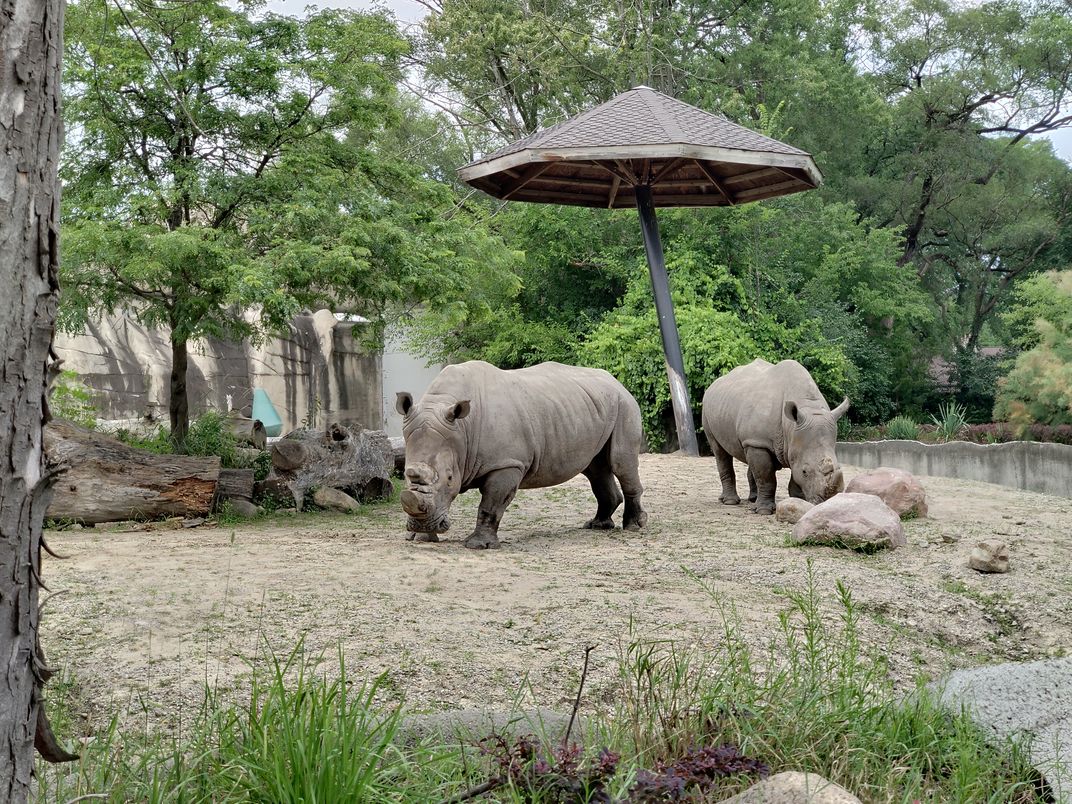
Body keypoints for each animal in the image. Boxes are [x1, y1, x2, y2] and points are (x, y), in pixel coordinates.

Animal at [396, 360, 648, 549]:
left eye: (450, 479)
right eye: (406, 474)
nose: (421, 525)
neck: (463, 430)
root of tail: (615, 380)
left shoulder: (507, 463)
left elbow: (491, 504)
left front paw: (478, 545)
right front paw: (423, 537)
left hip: (624, 405)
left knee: (620, 462)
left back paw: (634, 526)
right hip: (591, 407)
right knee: (595, 469)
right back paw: (597, 525)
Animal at [701, 358, 848, 514]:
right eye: (805, 471)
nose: (828, 501)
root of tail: (713, 385)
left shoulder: (789, 444)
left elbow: (791, 476)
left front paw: (798, 500)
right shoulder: (760, 442)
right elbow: (766, 477)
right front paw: (763, 511)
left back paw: (753, 499)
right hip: (708, 410)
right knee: (720, 452)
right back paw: (730, 502)